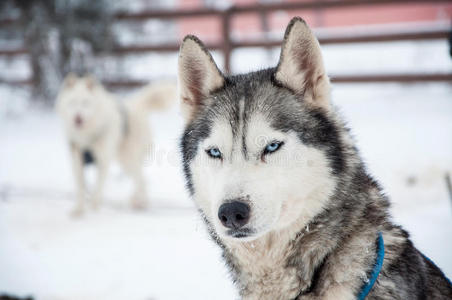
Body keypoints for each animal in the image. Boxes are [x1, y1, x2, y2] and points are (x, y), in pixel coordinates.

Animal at [56, 74, 177, 216]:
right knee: (141, 179)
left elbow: (97, 188)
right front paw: (79, 210)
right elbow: (80, 188)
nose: (77, 117)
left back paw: (139, 201)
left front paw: (94, 209)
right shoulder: (77, 161)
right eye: (72, 102)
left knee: (141, 180)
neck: (87, 135)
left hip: (127, 160)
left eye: (85, 103)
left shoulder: (103, 160)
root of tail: (136, 104)